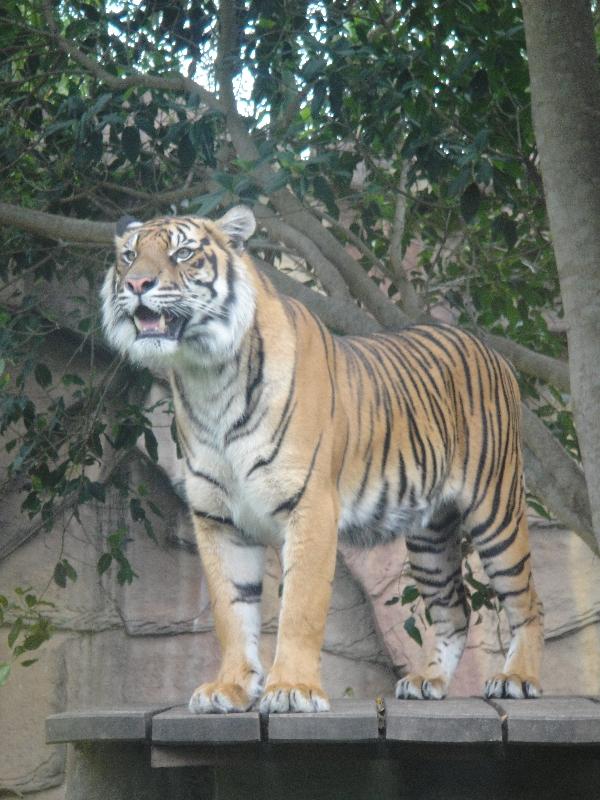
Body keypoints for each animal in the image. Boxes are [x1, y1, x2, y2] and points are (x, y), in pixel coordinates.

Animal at [102, 205, 544, 712]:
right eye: (129, 256)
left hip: (497, 510)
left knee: (526, 600)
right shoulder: (216, 518)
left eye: (183, 253)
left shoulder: (309, 505)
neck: (207, 376)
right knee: (454, 610)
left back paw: (517, 678)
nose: (138, 283)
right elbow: (231, 611)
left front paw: (292, 689)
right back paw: (426, 682)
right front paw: (229, 688)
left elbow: (300, 607)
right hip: (430, 535)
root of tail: (485, 345)